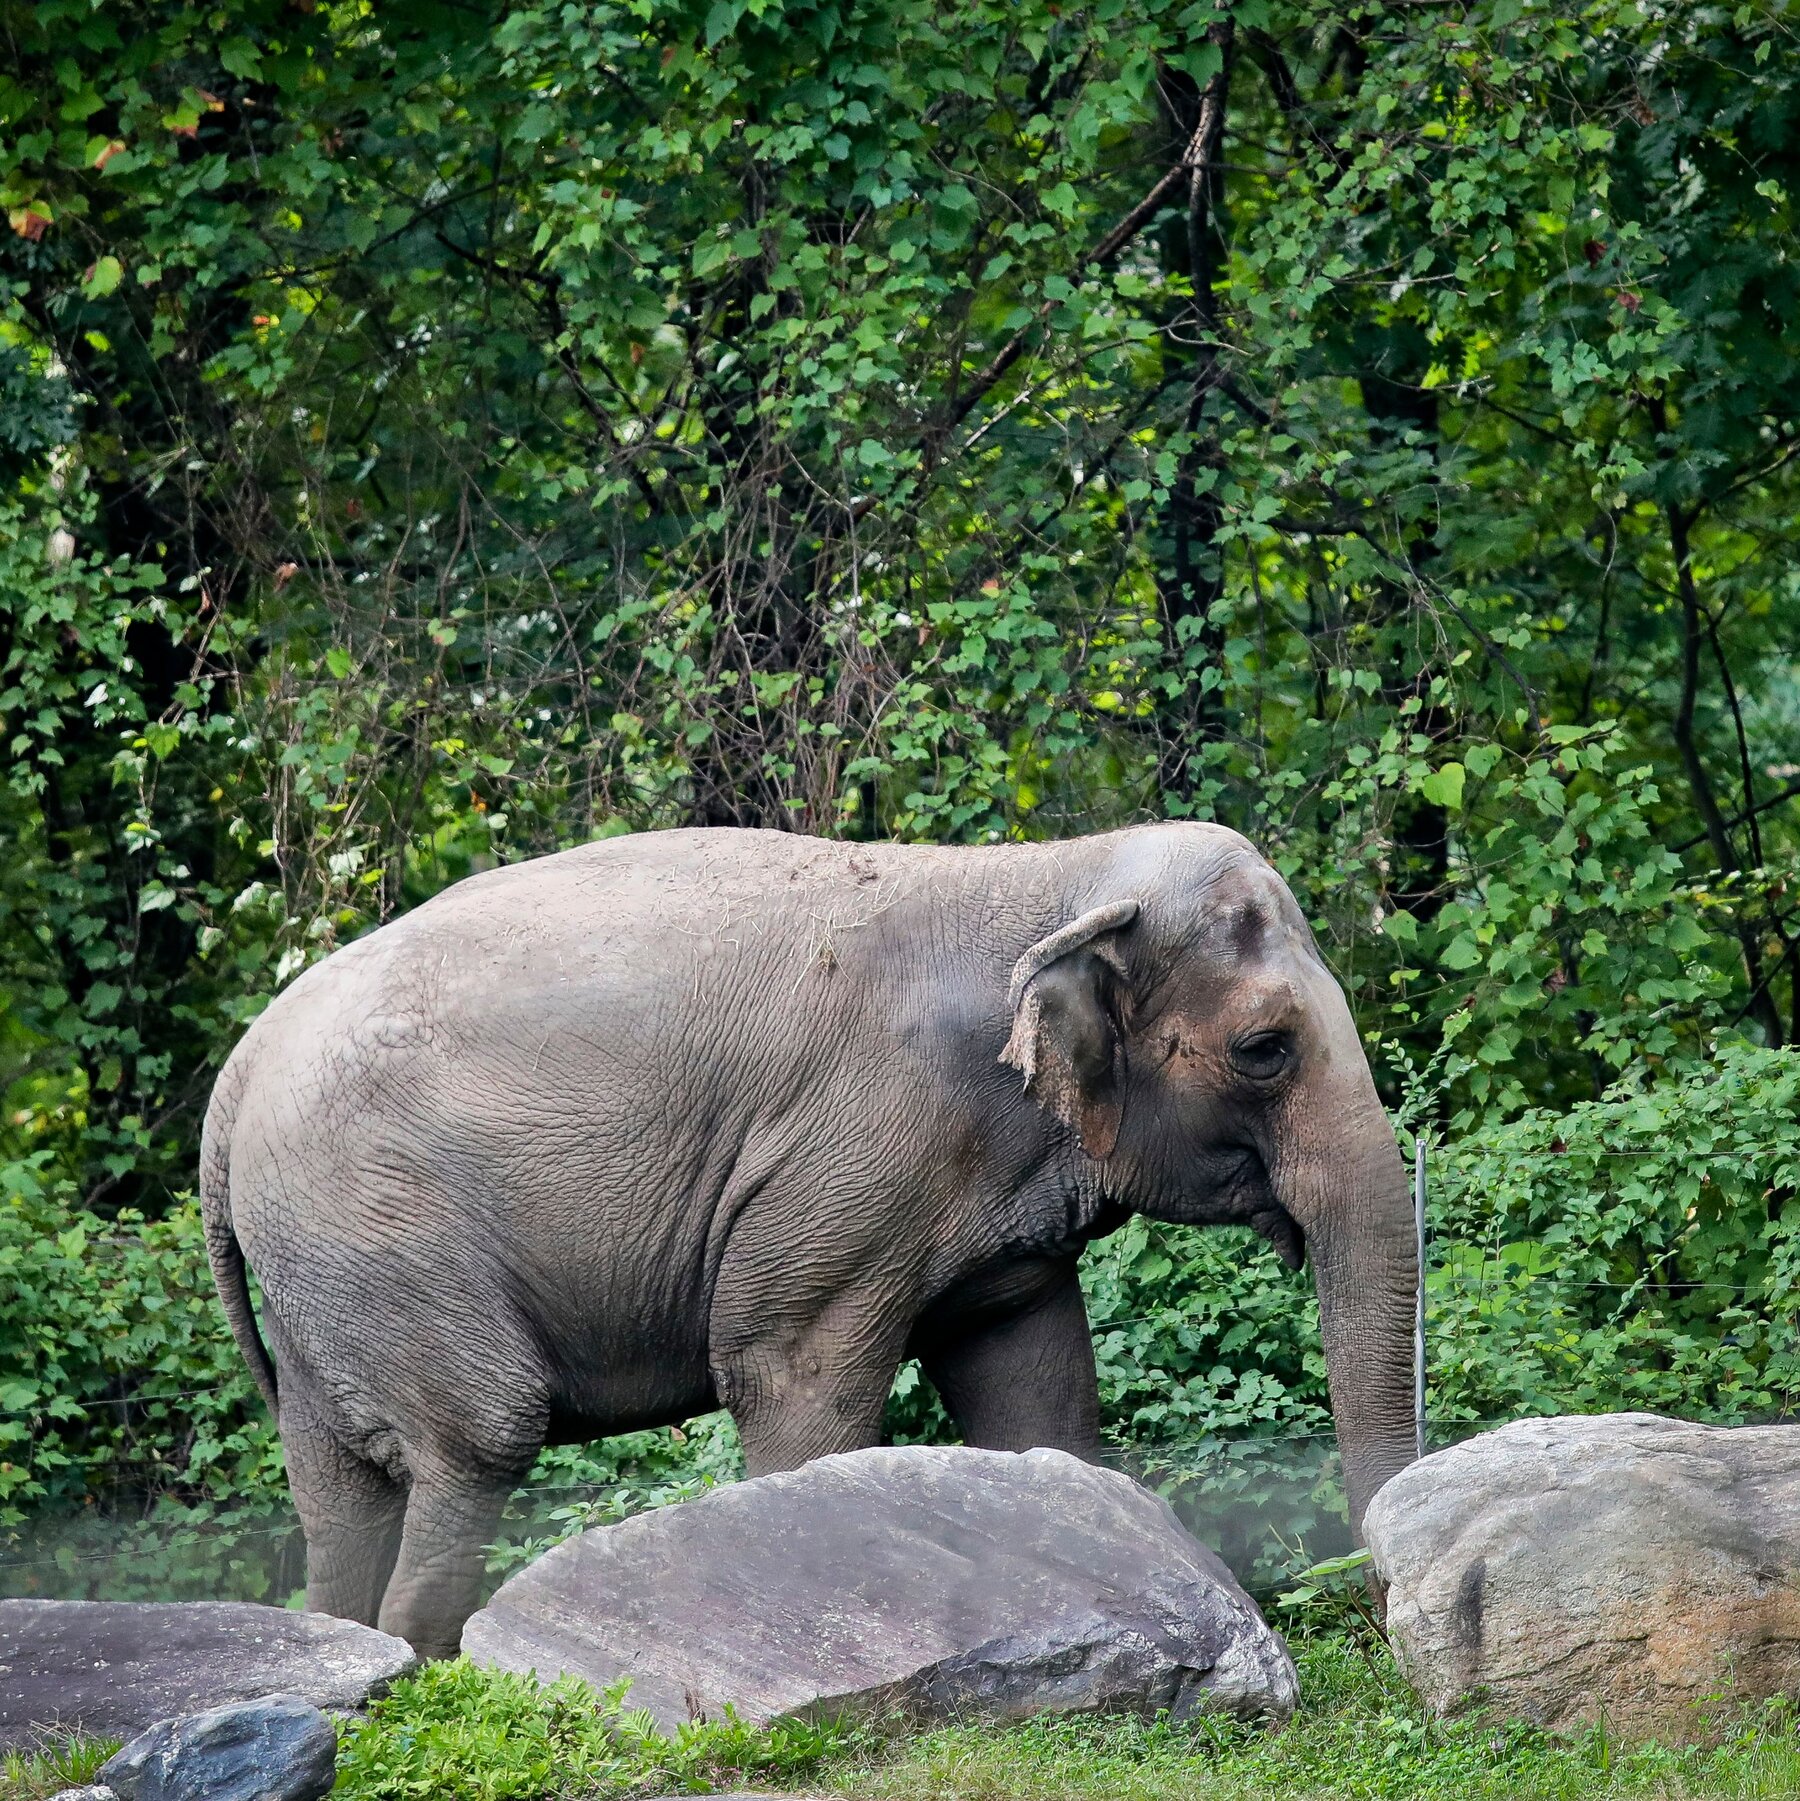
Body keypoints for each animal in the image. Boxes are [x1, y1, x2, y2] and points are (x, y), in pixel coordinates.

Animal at [202, 822, 1418, 1659]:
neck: (1047, 875)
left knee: (338, 1489)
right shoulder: (856, 1157)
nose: (1374, 1605)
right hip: (381, 1227)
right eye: (1264, 1048)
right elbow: (793, 1375)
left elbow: (1035, 1387)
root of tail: (236, 1075)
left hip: (320, 1268)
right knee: (478, 1439)